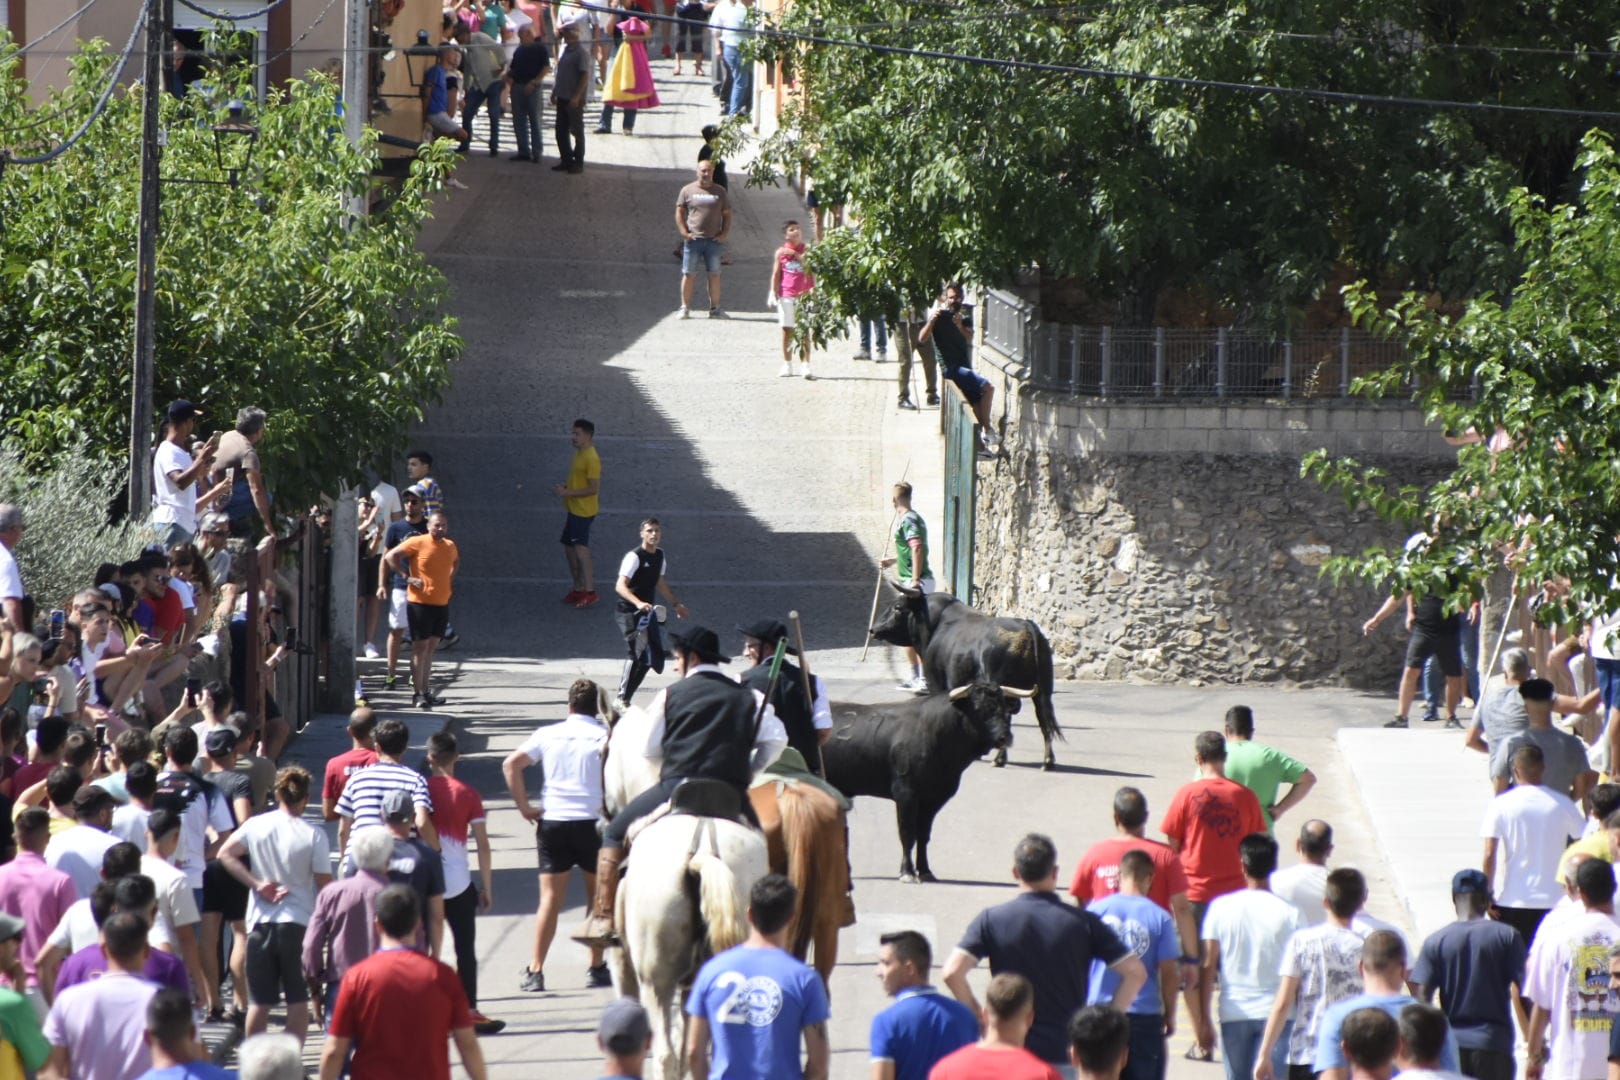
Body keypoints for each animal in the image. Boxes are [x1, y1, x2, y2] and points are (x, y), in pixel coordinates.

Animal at [602, 702, 771, 1080]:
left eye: (601, 752)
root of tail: (701, 852)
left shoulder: (624, 968)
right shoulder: (692, 985)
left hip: (656, 980)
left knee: (665, 1054)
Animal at [822, 683, 1023, 887]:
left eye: (1005, 709)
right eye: (979, 709)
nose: (1005, 737)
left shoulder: (934, 798)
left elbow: (923, 835)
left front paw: (925, 870)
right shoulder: (906, 794)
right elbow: (907, 833)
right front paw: (907, 872)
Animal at [874, 592, 1062, 767]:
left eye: (897, 607)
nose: (874, 629)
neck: (937, 624)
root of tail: (1027, 626)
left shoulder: (937, 682)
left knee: (1010, 715)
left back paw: (1000, 759)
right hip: (1043, 691)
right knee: (1044, 719)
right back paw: (1047, 760)